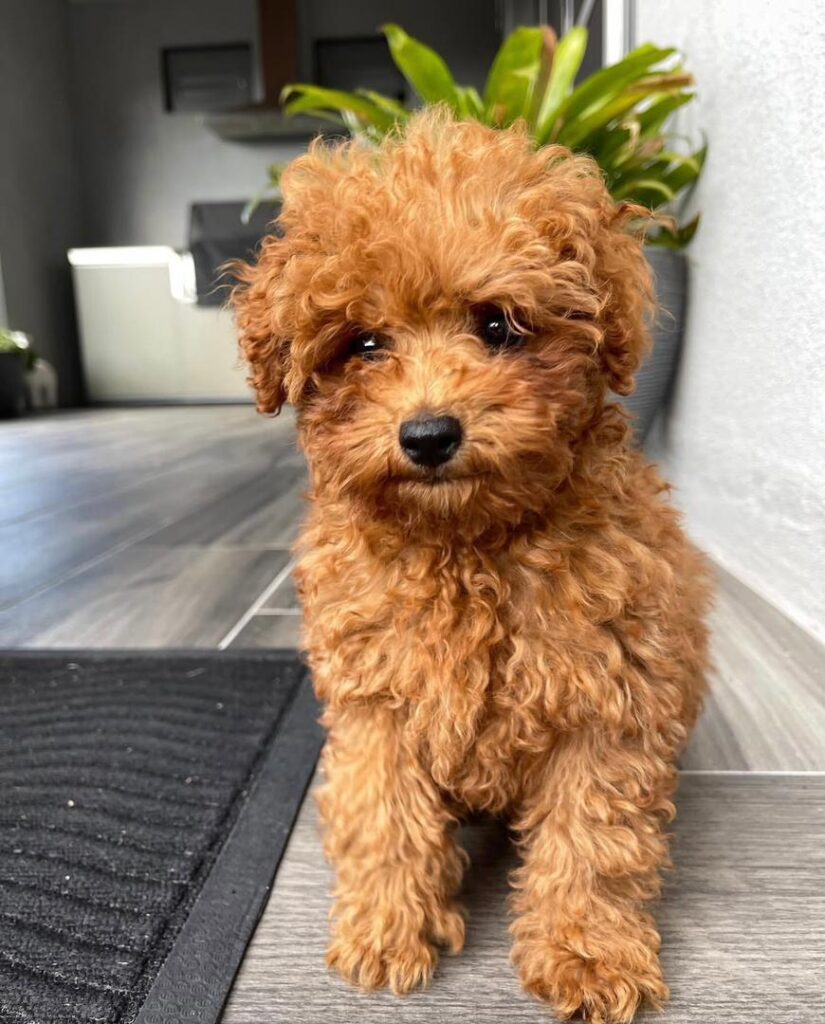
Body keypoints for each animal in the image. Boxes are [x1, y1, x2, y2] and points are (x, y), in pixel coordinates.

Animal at [231, 108, 711, 1024]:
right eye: (364, 344)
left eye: (498, 326)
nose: (427, 434)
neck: (465, 544)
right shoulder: (376, 699)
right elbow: (382, 815)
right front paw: (385, 931)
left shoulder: (607, 694)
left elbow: (592, 840)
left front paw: (586, 955)